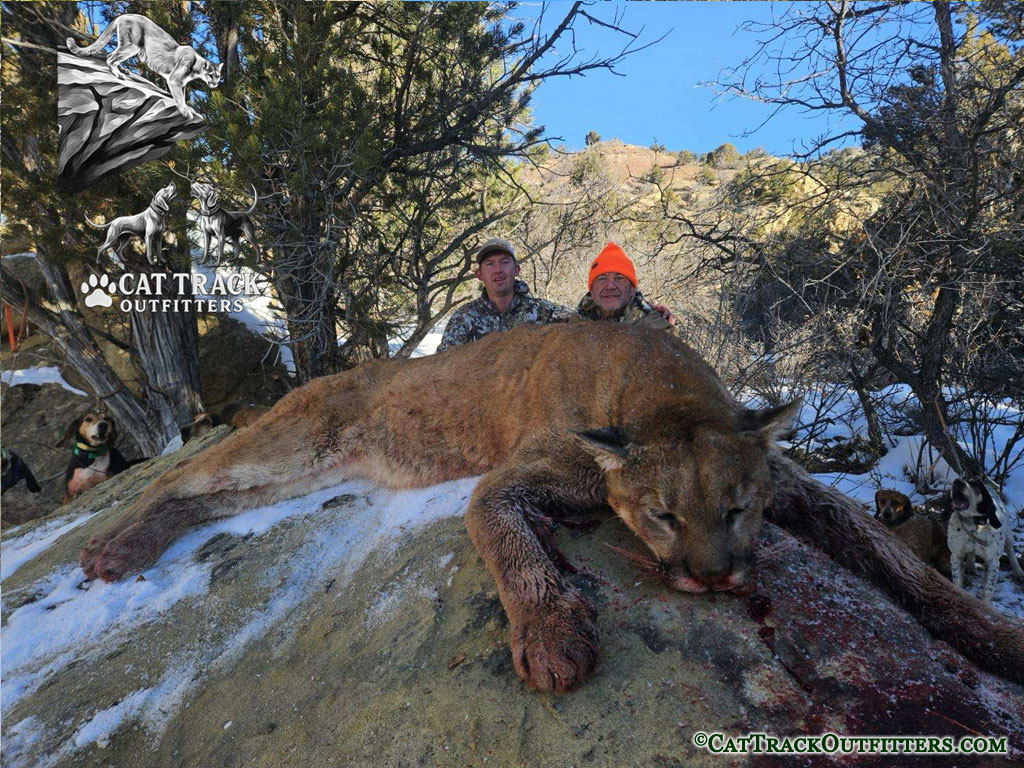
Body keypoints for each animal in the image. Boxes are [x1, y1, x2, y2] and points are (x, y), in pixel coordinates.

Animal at [79, 323, 1024, 691]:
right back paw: (112, 551)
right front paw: (552, 634)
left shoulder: (797, 489)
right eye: (662, 516)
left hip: (305, 470)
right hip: (289, 441)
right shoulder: (509, 478)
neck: (657, 386)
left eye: (737, 509)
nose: (717, 578)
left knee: (211, 502)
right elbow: (507, 539)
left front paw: (995, 636)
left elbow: (898, 561)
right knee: (173, 478)